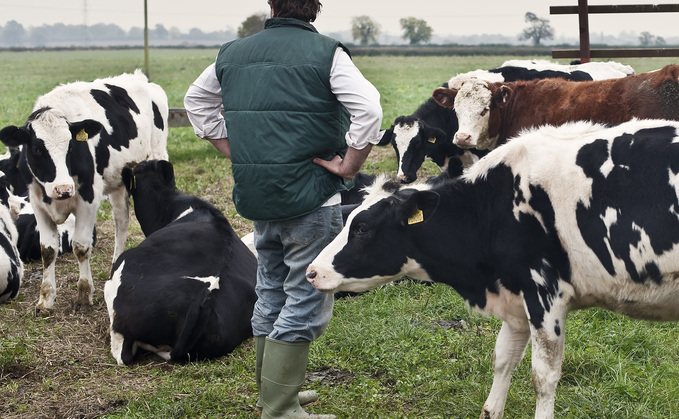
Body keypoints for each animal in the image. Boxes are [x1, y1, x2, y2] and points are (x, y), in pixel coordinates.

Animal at [0, 69, 169, 312]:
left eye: (71, 146)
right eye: (37, 149)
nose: (63, 189)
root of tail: (140, 78)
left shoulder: (88, 198)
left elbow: (80, 246)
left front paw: (83, 294)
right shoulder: (37, 201)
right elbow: (47, 250)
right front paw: (46, 299)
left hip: (157, 155)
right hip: (118, 182)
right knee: (121, 221)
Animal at [310, 117, 679, 419]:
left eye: (363, 228)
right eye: (351, 219)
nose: (312, 271)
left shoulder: (545, 295)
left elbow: (543, 377)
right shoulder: (515, 300)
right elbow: (502, 360)